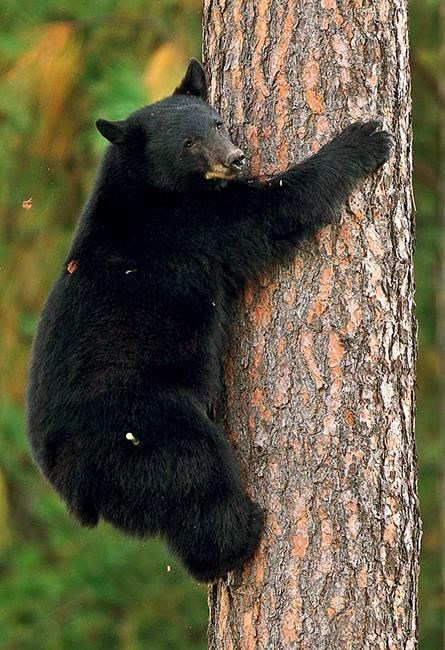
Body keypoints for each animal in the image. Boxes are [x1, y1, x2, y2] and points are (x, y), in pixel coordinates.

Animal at [26, 58, 393, 582]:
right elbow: (274, 210)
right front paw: (364, 138)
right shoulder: (194, 224)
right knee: (194, 473)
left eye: (217, 122)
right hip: (141, 424)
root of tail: (70, 486)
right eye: (188, 143)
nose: (236, 158)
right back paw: (242, 534)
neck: (147, 186)